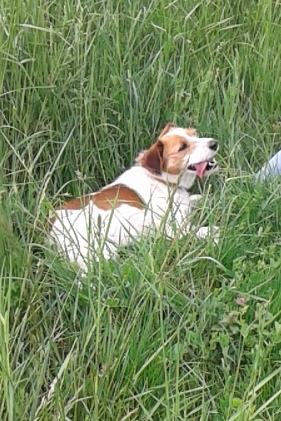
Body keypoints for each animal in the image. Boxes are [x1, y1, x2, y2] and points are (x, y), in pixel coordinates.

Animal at [49, 123, 218, 270]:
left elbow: (197, 198)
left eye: (194, 135)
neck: (161, 180)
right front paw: (213, 232)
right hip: (101, 252)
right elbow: (203, 230)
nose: (214, 143)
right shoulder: (173, 230)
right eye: (182, 147)